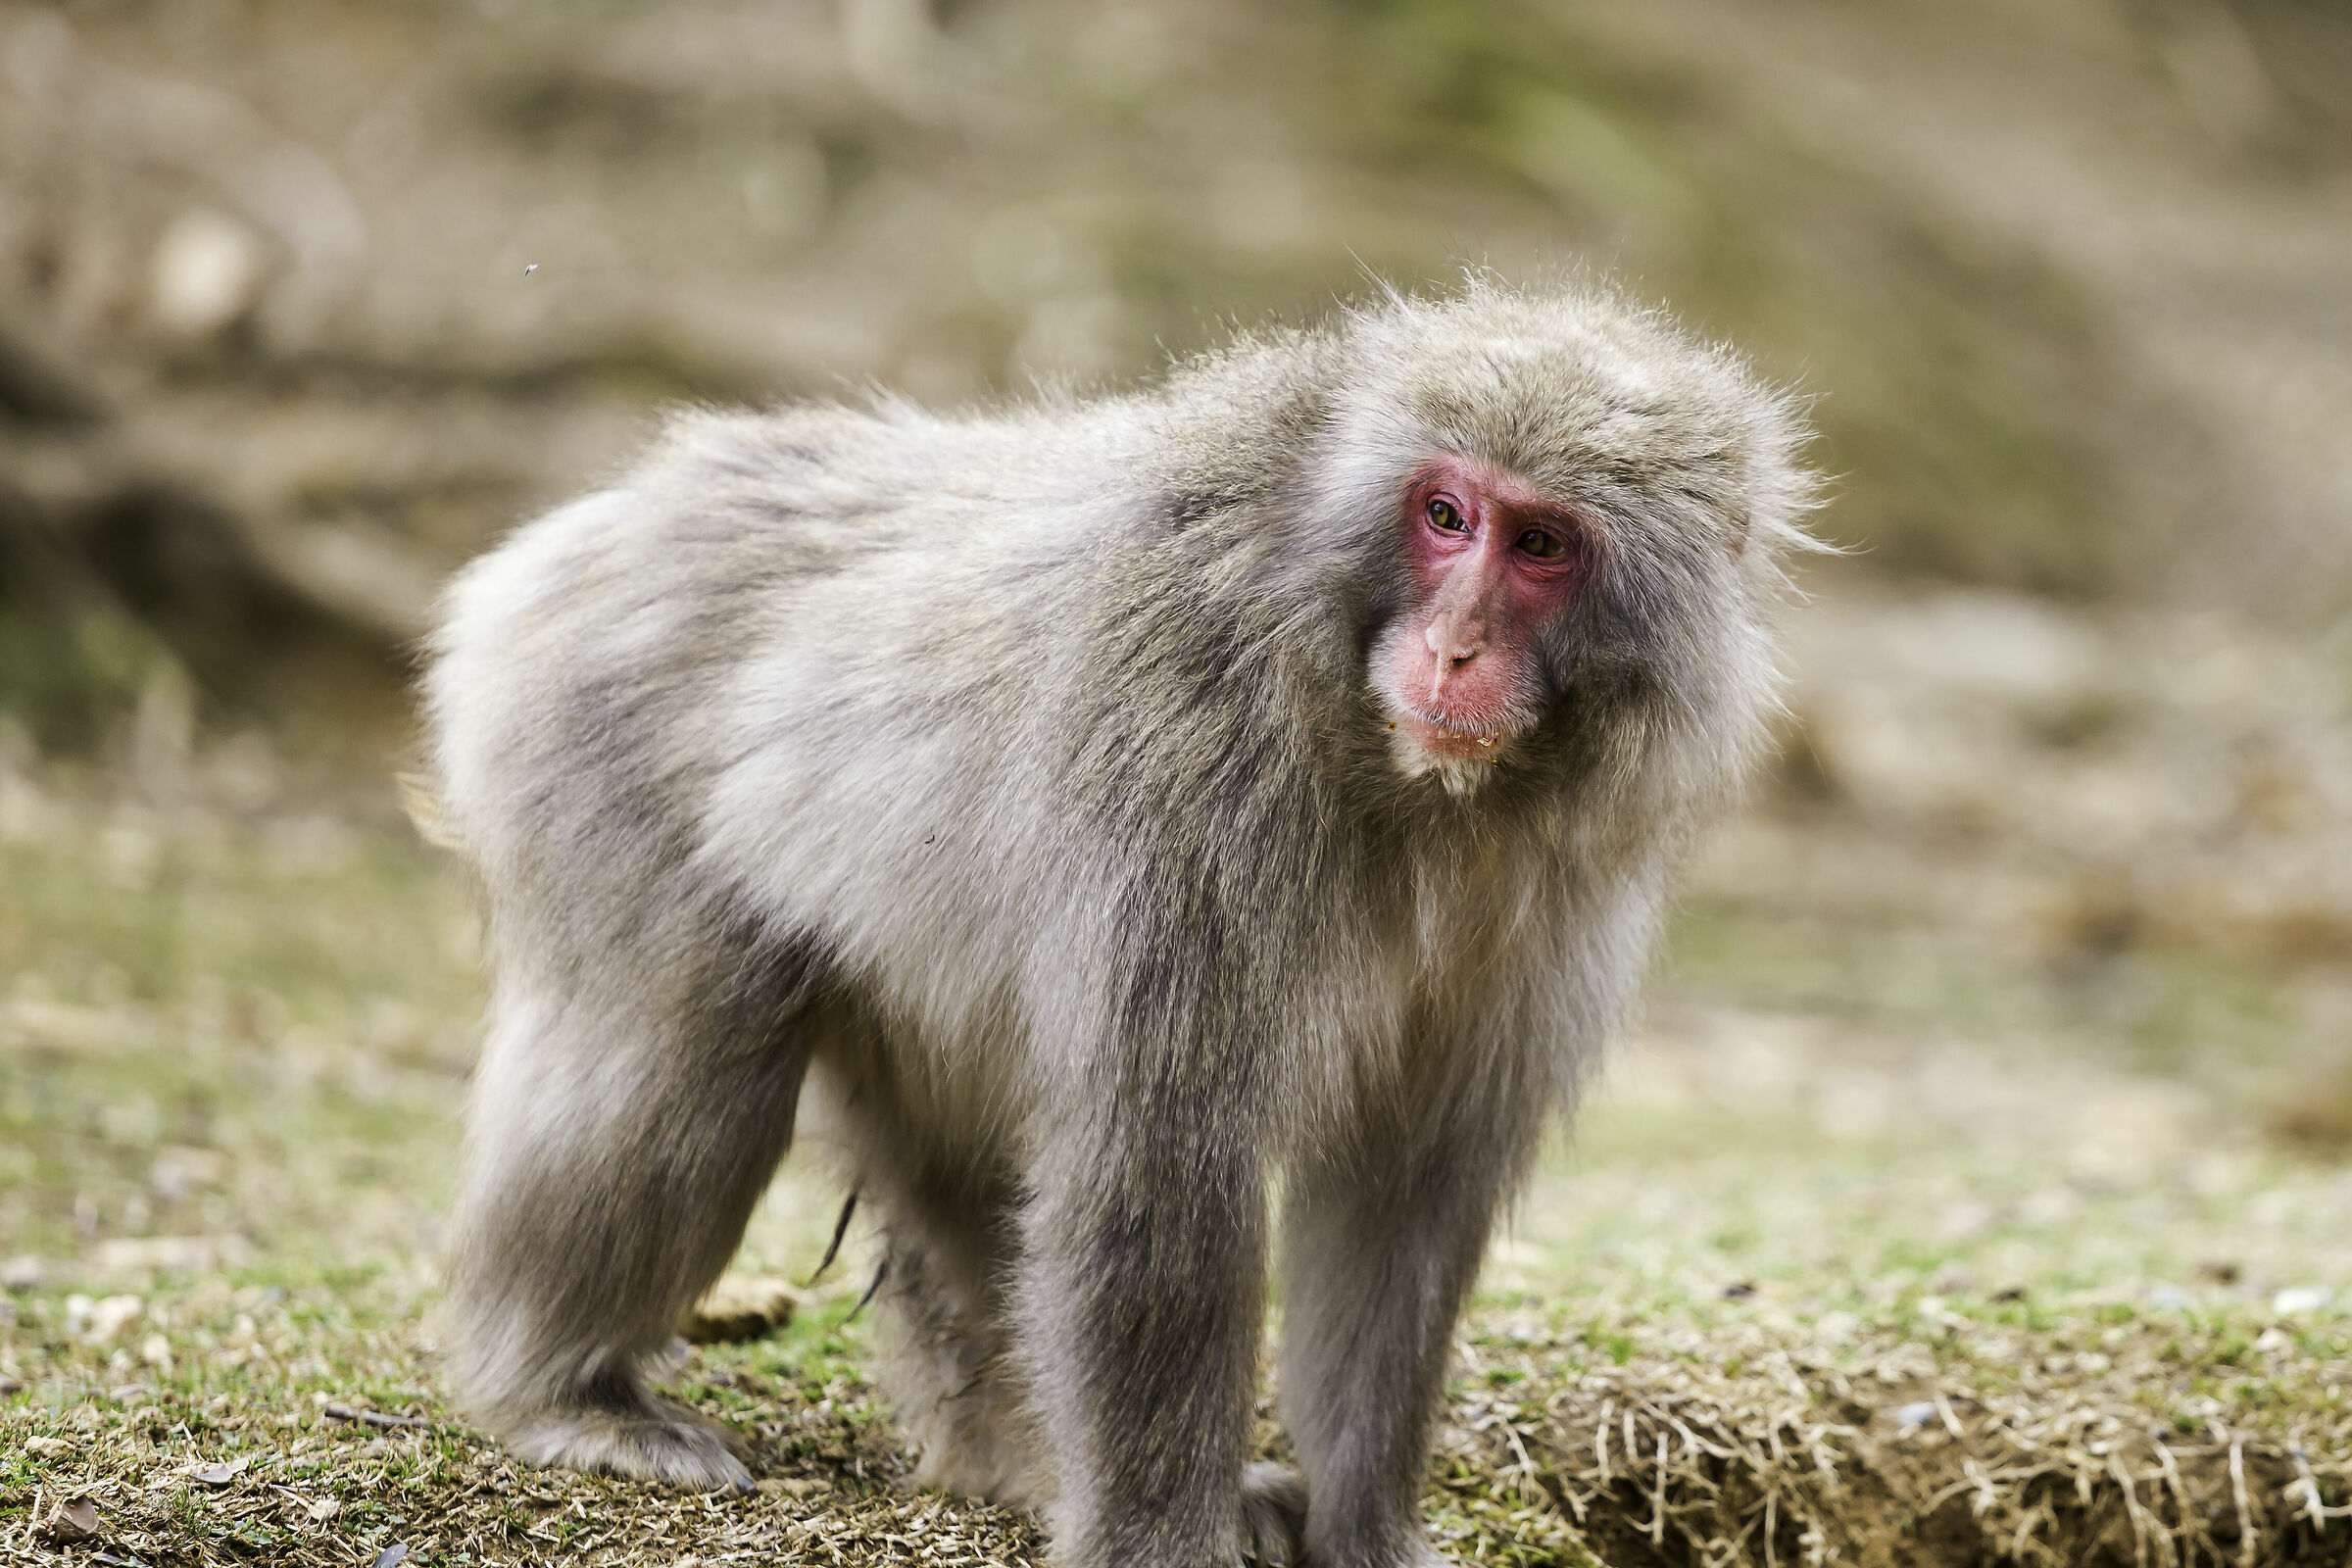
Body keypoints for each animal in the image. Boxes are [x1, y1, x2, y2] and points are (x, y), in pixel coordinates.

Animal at [419, 276, 1816, 1568]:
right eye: (1446, 515)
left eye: (1540, 545)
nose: (1458, 650)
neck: (1399, 766)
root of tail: (593, 521)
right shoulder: (1188, 752)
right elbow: (1159, 1163)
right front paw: (1157, 1540)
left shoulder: (1552, 893)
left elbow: (1405, 1188)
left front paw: (1369, 1527)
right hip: (592, 753)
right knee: (678, 1066)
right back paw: (557, 1391)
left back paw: (1012, 1452)